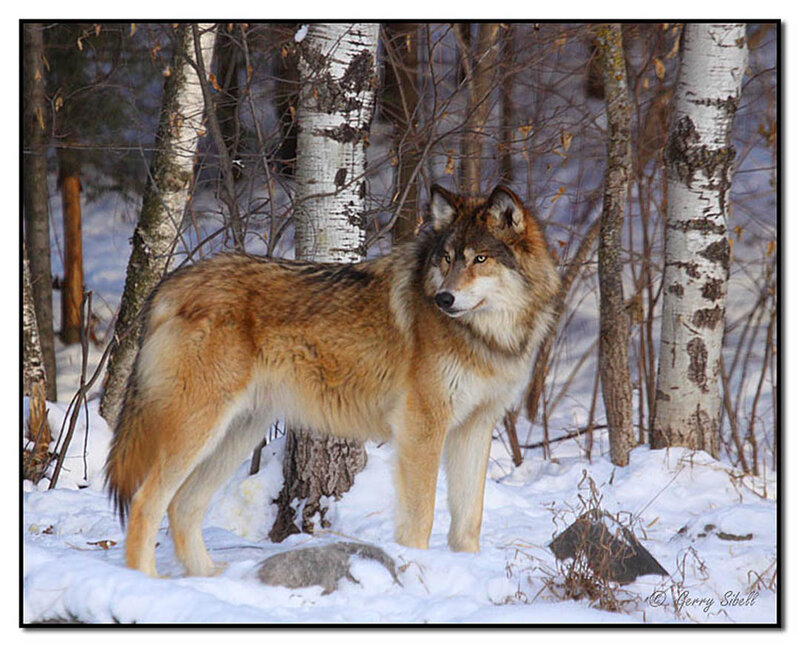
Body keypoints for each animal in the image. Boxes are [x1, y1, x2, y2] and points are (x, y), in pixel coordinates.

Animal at [105, 185, 560, 577]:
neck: (487, 337)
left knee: (182, 506)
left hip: (236, 433)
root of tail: (169, 284)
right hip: (198, 429)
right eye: (447, 259)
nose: (443, 299)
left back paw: (209, 578)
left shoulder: (475, 427)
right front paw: (415, 567)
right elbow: (422, 516)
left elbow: (469, 523)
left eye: (479, 259)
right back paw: (147, 581)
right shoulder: (422, 426)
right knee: (146, 502)